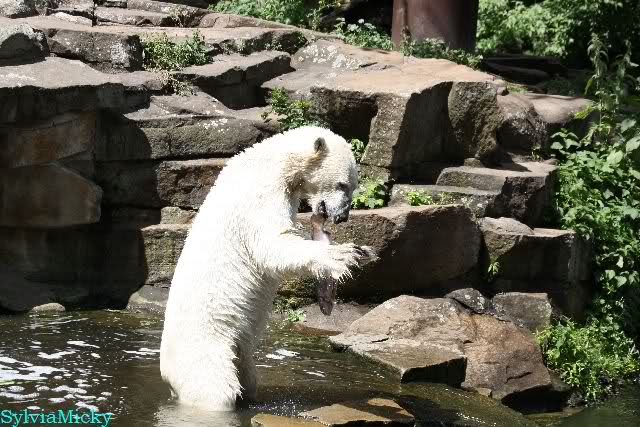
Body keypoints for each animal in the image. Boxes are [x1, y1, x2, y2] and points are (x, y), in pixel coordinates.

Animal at [160, 126, 372, 410]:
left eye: (353, 185)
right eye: (342, 184)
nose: (342, 217)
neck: (273, 161)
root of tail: (166, 374)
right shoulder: (259, 194)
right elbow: (271, 244)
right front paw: (346, 254)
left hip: (237, 349)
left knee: (247, 377)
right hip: (205, 347)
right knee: (215, 390)